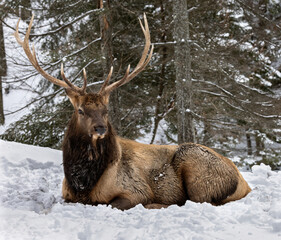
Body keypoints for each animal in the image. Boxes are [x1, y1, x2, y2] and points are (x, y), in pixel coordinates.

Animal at [15, 14, 249, 209]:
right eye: (80, 110)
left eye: (106, 110)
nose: (100, 128)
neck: (82, 182)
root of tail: (244, 183)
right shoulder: (67, 195)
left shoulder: (135, 190)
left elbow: (112, 204)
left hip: (197, 167)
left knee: (198, 200)